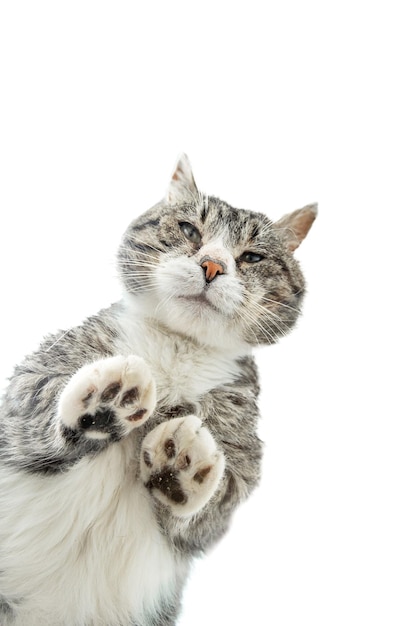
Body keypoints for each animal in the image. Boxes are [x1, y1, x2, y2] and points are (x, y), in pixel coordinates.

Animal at [0, 152, 316, 624]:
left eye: (252, 256)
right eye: (189, 230)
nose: (212, 265)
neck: (177, 352)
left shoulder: (239, 468)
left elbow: (209, 508)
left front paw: (180, 463)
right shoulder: (24, 393)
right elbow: (41, 404)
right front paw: (105, 401)